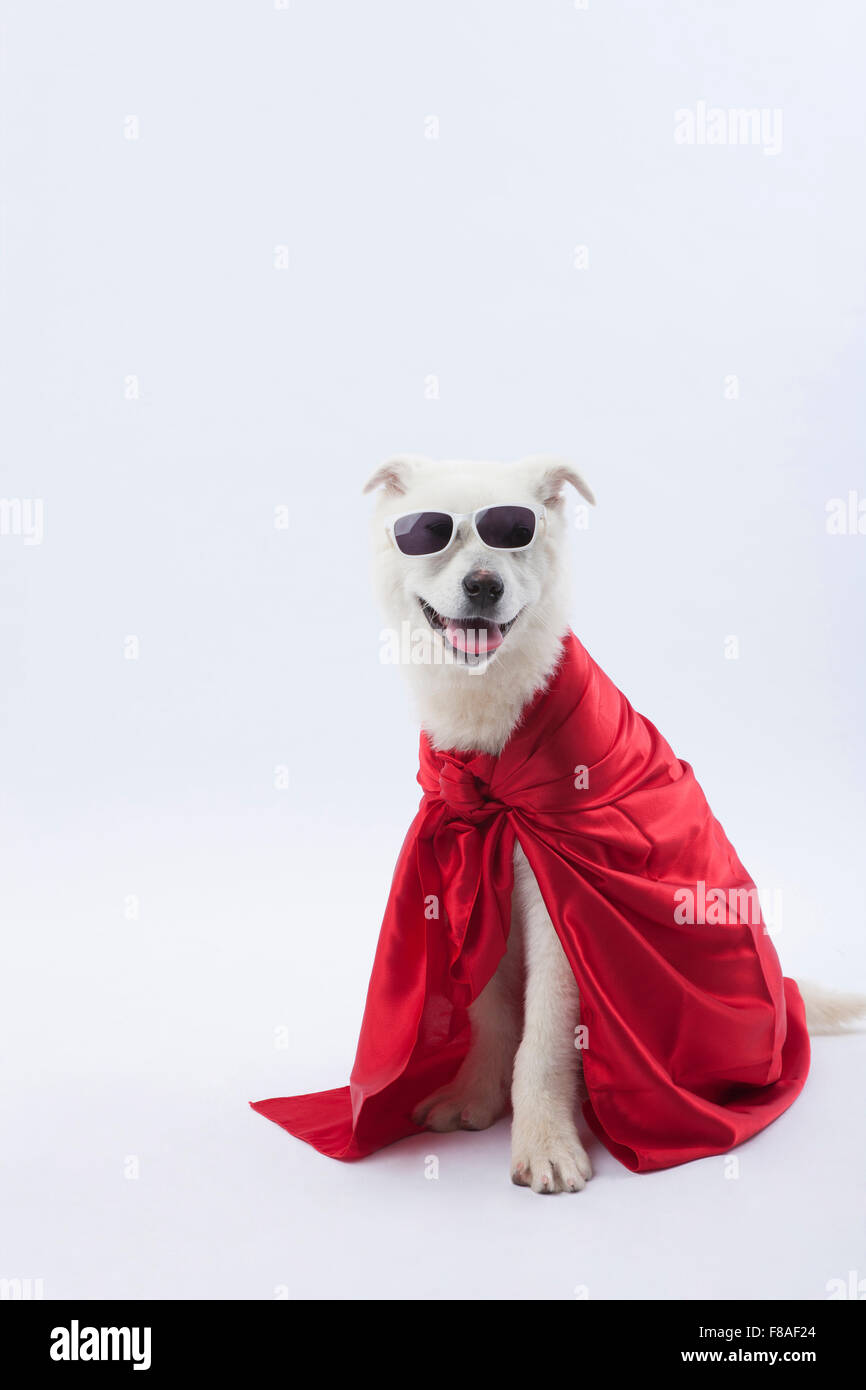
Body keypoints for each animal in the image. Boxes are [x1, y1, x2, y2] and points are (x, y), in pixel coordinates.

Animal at [361, 455, 861, 1195]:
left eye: (516, 532)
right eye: (429, 532)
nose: (484, 585)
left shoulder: (559, 908)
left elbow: (542, 1041)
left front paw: (544, 1140)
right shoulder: (479, 878)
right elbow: (490, 1014)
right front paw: (476, 1094)